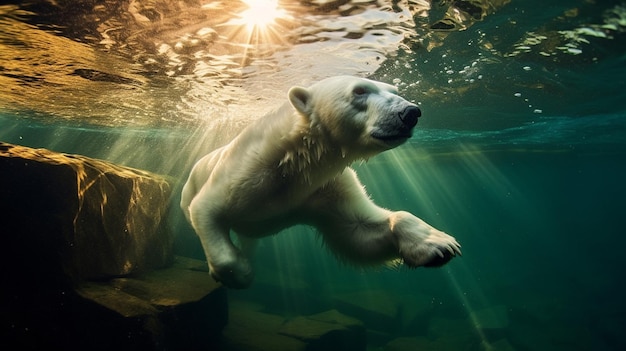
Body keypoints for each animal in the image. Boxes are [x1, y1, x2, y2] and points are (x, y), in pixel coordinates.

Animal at [179, 76, 458, 288]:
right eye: (360, 90)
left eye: (394, 90)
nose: (411, 112)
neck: (293, 161)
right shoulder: (246, 172)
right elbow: (206, 208)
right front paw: (240, 273)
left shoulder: (322, 187)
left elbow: (358, 230)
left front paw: (437, 243)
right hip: (189, 186)